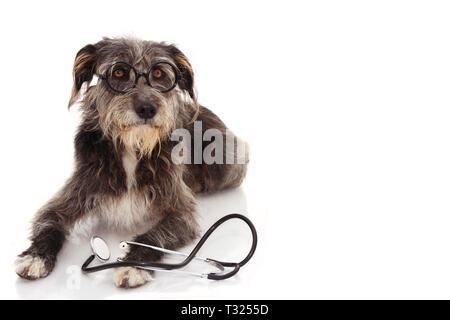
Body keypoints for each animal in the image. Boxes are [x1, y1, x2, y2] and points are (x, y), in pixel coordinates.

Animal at [13, 37, 250, 288]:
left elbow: (155, 235)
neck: (132, 147)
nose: (147, 108)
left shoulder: (181, 211)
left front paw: (133, 265)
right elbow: (48, 221)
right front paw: (35, 257)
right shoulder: (71, 195)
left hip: (226, 164)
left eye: (158, 72)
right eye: (119, 71)